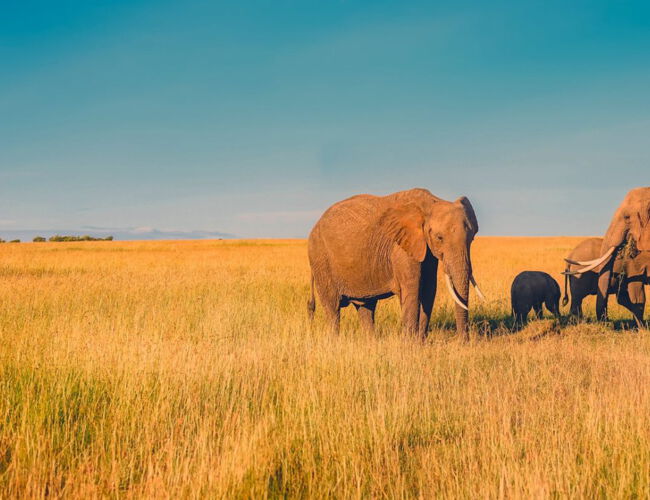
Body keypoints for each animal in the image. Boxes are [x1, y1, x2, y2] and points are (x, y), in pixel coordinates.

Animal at [306, 188, 484, 340]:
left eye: (472, 238)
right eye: (439, 237)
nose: (463, 342)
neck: (431, 202)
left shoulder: (425, 248)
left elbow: (429, 289)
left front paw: (420, 343)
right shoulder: (401, 248)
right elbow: (413, 290)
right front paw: (410, 345)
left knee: (366, 308)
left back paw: (371, 343)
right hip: (320, 258)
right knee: (333, 308)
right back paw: (335, 341)